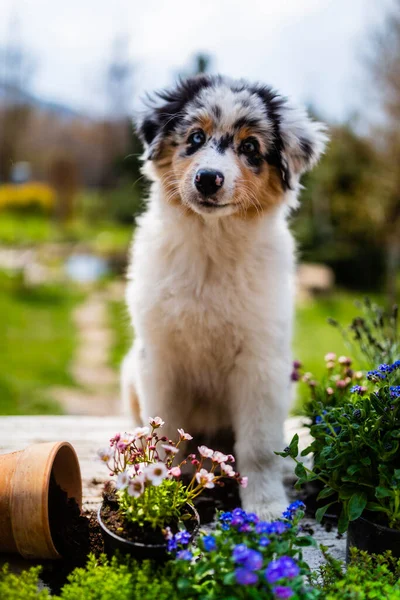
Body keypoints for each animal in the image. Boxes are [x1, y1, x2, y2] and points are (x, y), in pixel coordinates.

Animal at [122, 74, 328, 516]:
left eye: (250, 147)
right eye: (195, 138)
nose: (207, 178)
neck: (212, 246)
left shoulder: (260, 364)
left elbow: (259, 449)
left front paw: (266, 507)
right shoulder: (159, 359)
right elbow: (161, 436)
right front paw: (153, 488)